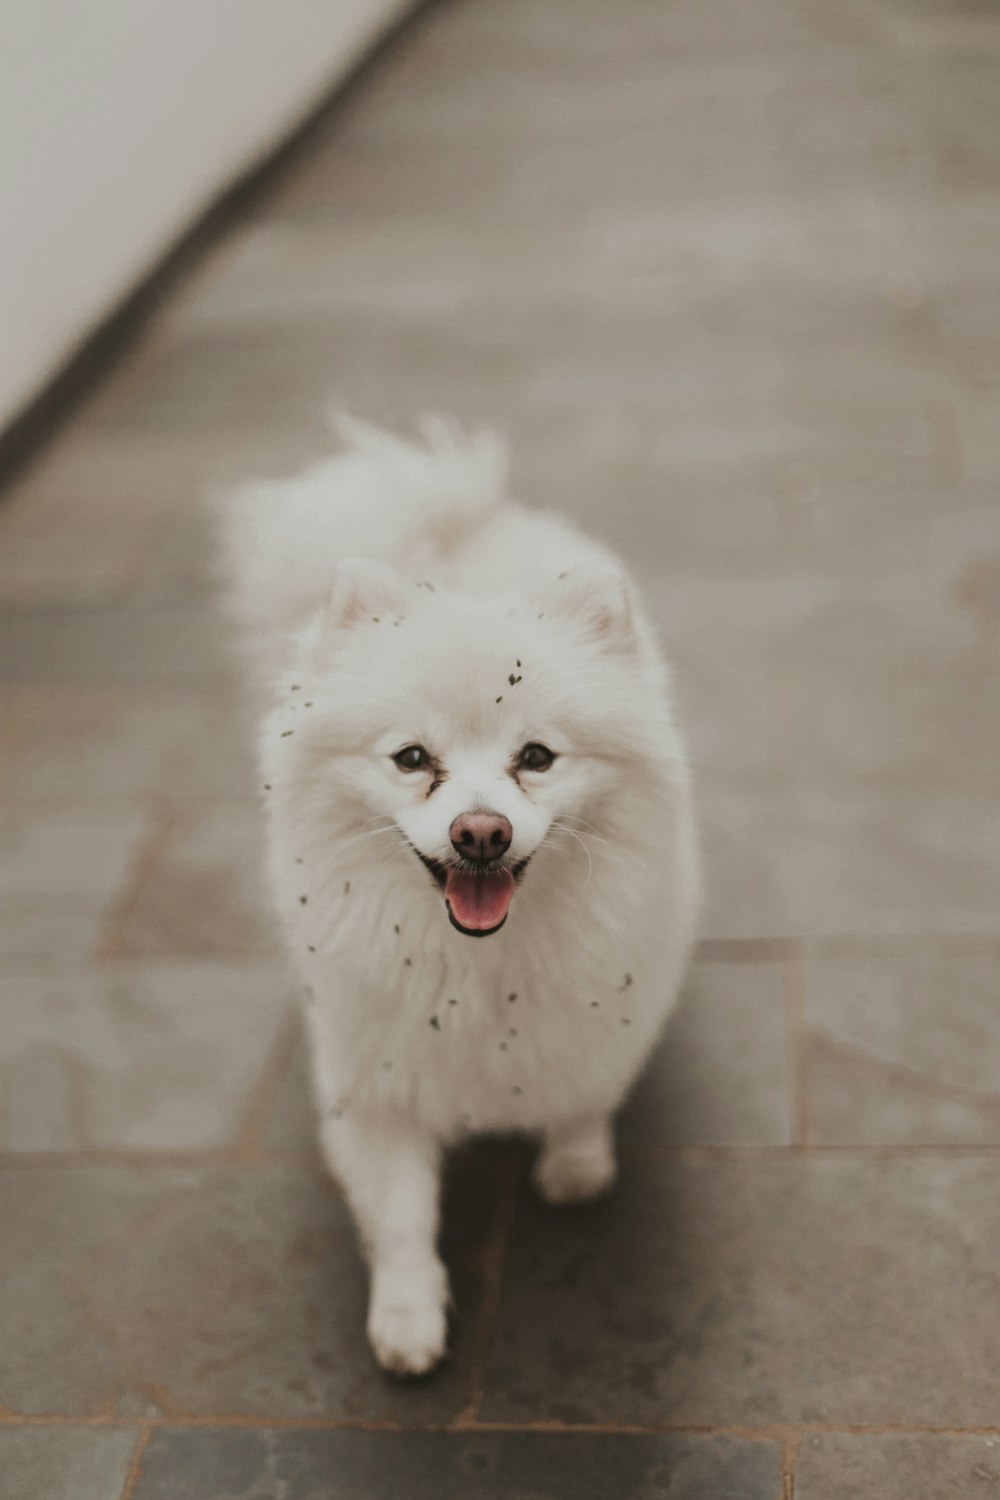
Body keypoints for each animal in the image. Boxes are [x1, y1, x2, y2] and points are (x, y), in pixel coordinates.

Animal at [218, 417, 704, 1374]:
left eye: (537, 757)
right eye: (413, 759)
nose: (482, 832)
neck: (480, 971)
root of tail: (458, 522)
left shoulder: (600, 1017)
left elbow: (584, 1093)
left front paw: (575, 1164)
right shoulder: (374, 1079)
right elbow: (401, 1215)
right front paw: (408, 1321)